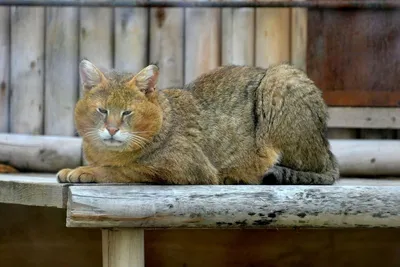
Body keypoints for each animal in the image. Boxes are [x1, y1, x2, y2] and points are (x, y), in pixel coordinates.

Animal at [55, 59, 338, 185]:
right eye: (102, 110)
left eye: (127, 113)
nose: (112, 129)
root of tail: (328, 151)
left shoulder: (185, 169)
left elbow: (122, 170)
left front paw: (83, 171)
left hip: (281, 77)